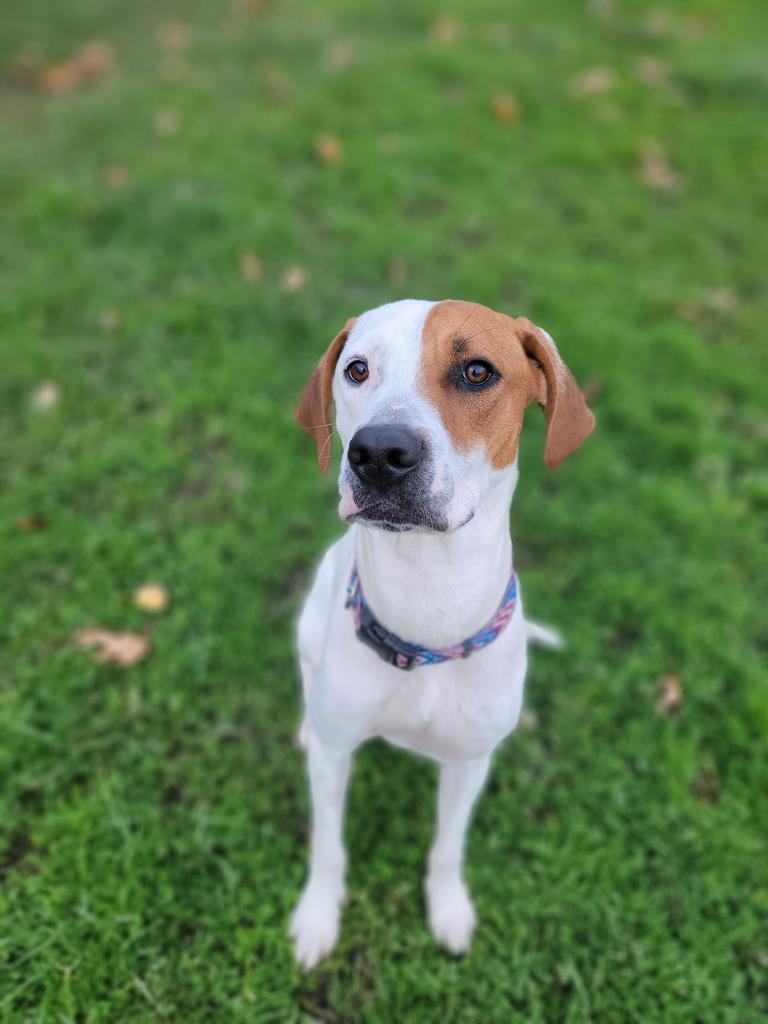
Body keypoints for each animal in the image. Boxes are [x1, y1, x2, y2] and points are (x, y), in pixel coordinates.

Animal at [288, 299, 593, 966]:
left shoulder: (470, 761)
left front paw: (449, 909)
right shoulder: (335, 756)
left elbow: (448, 848)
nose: (379, 452)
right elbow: (328, 846)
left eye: (477, 372)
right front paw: (317, 916)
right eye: (356, 369)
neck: (427, 605)